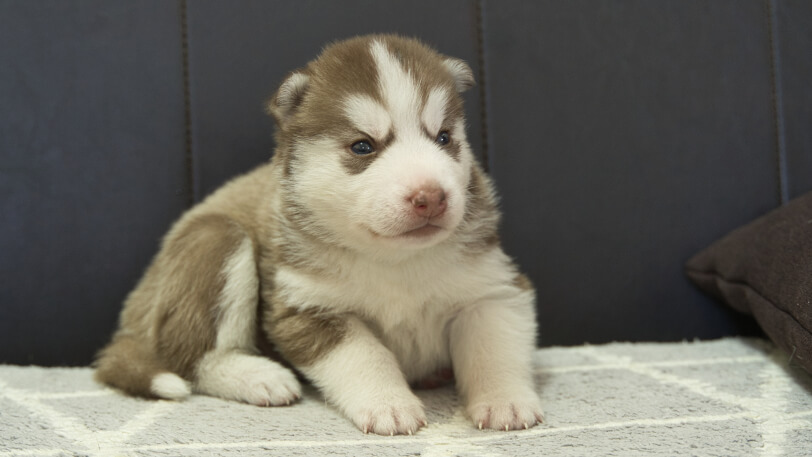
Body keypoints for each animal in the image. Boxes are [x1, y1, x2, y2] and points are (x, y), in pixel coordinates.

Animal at [95, 33, 544, 432]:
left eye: (444, 137)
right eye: (363, 146)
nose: (431, 197)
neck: (395, 261)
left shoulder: (493, 288)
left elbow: (494, 349)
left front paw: (504, 401)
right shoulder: (308, 308)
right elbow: (366, 355)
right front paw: (389, 404)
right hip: (216, 239)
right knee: (192, 358)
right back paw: (257, 377)